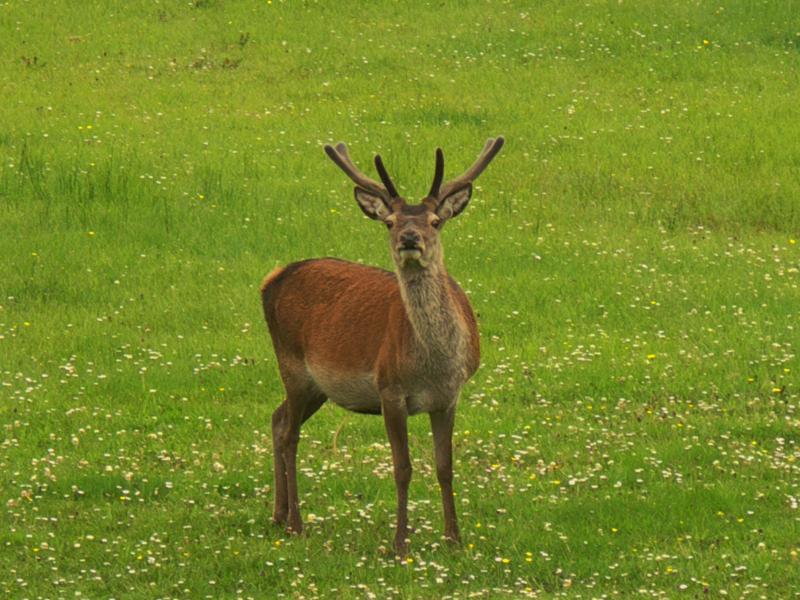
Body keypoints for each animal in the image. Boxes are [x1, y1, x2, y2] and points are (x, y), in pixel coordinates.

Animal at [260, 136, 504, 555]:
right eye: (390, 222)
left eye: (435, 221)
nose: (409, 239)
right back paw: (296, 524)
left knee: (278, 420)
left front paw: (454, 539)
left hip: (317, 386)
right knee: (290, 434)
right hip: (290, 363)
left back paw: (278, 514)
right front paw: (400, 543)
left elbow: (445, 466)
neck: (433, 366)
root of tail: (273, 278)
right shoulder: (390, 389)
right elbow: (403, 467)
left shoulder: (449, 396)